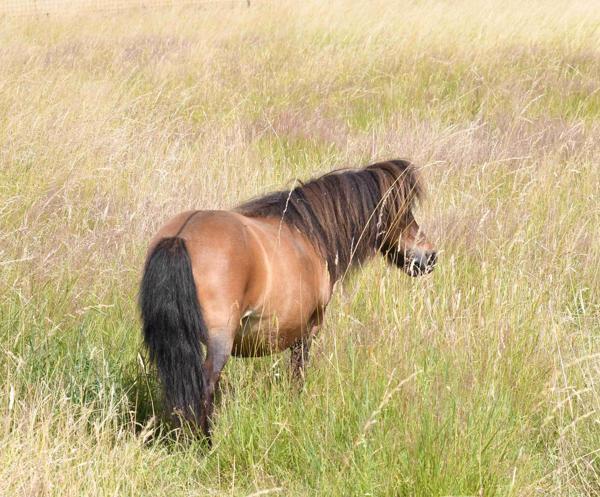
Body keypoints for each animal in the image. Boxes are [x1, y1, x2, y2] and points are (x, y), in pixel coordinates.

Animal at [141, 158, 436, 438]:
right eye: (403, 212)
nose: (430, 256)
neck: (308, 234)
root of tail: (179, 238)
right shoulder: (308, 330)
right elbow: (298, 374)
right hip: (219, 341)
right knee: (203, 386)